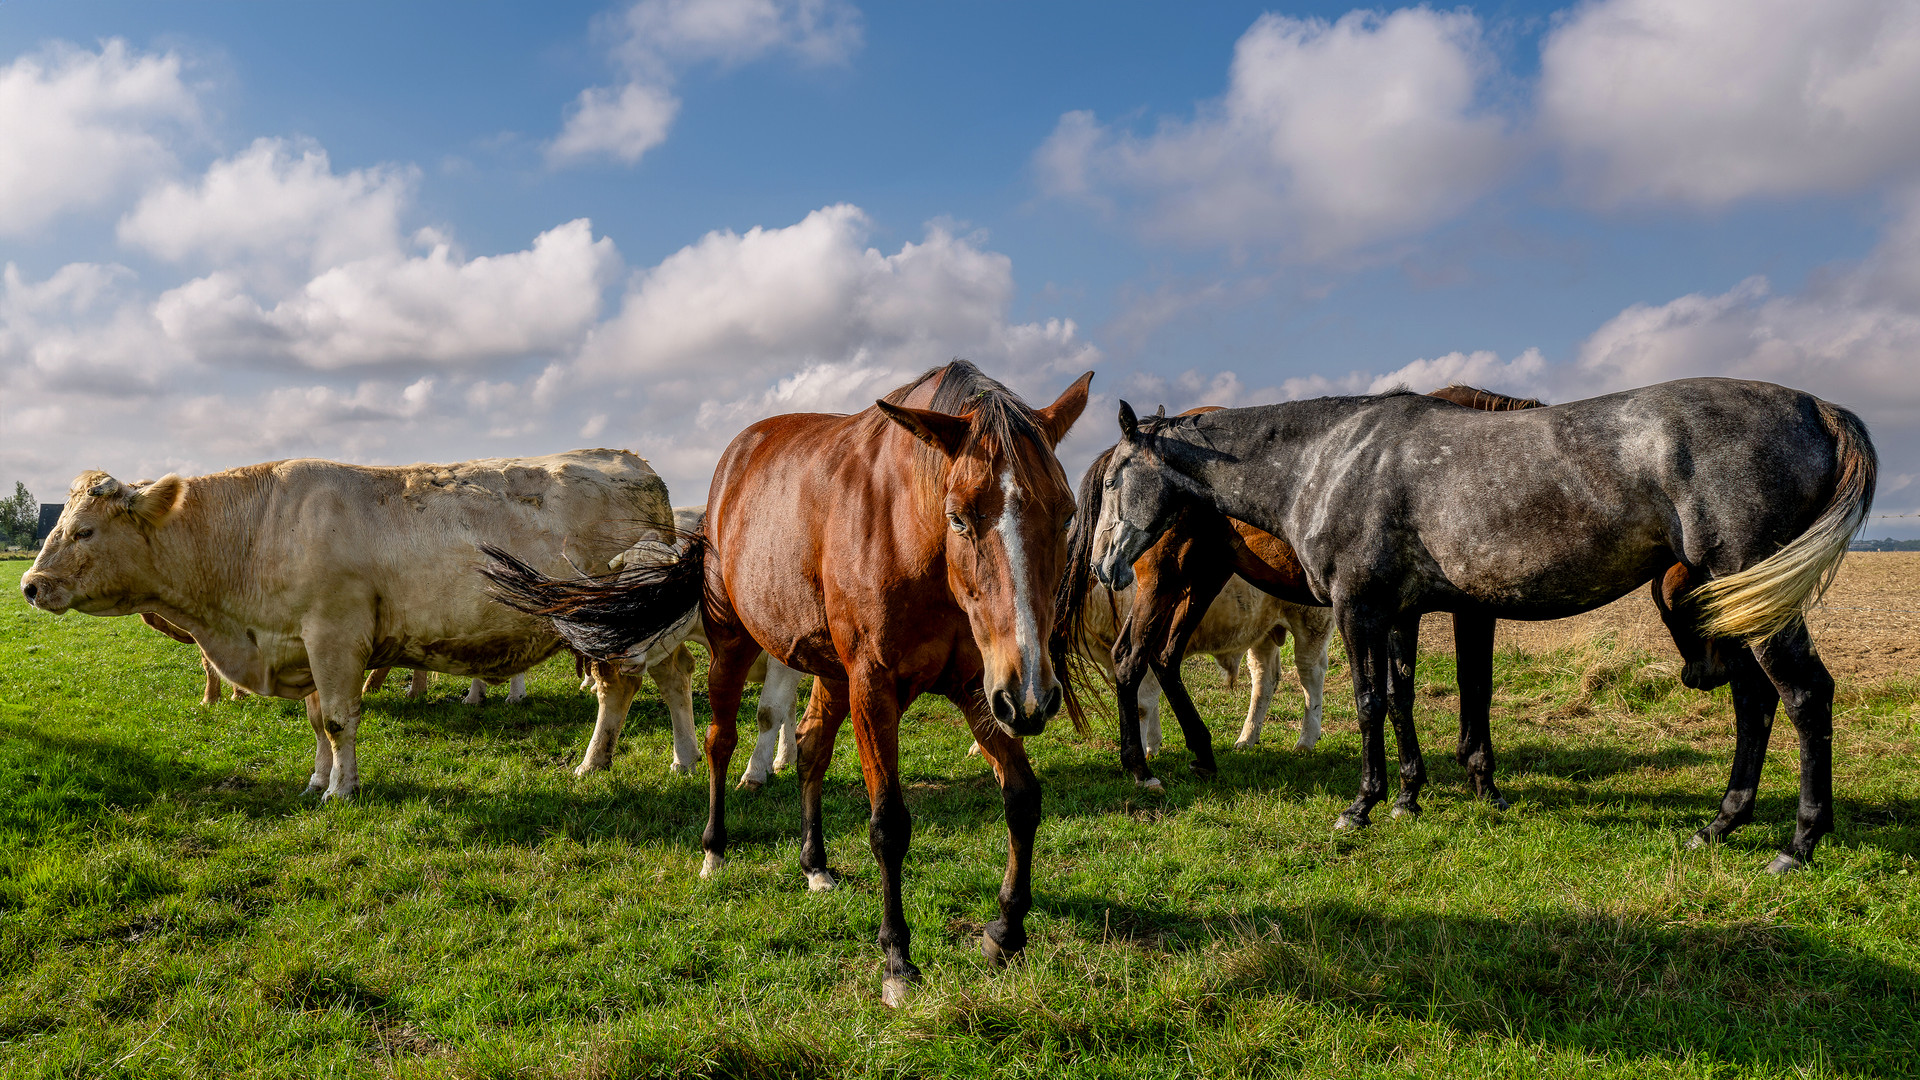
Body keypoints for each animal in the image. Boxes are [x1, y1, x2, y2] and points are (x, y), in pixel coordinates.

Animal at [24, 449, 675, 795]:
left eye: (84, 531)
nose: (31, 585)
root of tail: (634, 462)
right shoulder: (303, 644)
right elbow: (317, 722)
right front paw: (317, 781)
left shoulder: (334, 636)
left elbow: (339, 720)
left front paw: (343, 789)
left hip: (613, 628)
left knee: (617, 689)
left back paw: (593, 763)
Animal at [483, 361, 1098, 999]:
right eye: (958, 516)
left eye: (1066, 514)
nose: (1035, 695)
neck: (913, 538)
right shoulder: (877, 686)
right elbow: (888, 823)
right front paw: (897, 959)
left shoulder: (983, 684)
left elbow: (1022, 798)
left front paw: (1005, 931)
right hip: (733, 645)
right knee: (721, 742)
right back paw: (714, 852)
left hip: (834, 672)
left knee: (809, 747)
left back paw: (815, 865)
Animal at [1098, 378, 1873, 864]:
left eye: (1111, 479)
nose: (1106, 563)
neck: (1332, 458)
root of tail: (1818, 408)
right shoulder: (1399, 611)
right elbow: (1401, 698)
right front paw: (1408, 797)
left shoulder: (1359, 608)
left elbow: (1370, 702)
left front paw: (1363, 805)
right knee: (1757, 702)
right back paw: (1721, 824)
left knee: (1802, 696)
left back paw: (1798, 844)